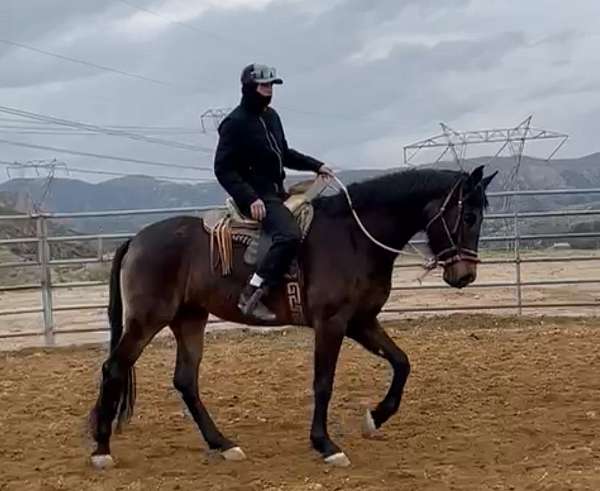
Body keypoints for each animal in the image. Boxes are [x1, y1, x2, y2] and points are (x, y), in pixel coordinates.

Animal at [85, 164, 496, 468]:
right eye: (468, 215)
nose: (465, 276)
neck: (354, 237)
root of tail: (137, 239)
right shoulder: (332, 324)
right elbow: (323, 383)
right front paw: (326, 445)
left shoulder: (361, 322)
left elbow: (402, 362)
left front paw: (375, 418)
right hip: (146, 320)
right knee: (115, 368)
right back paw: (102, 450)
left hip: (189, 319)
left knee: (186, 380)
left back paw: (223, 444)